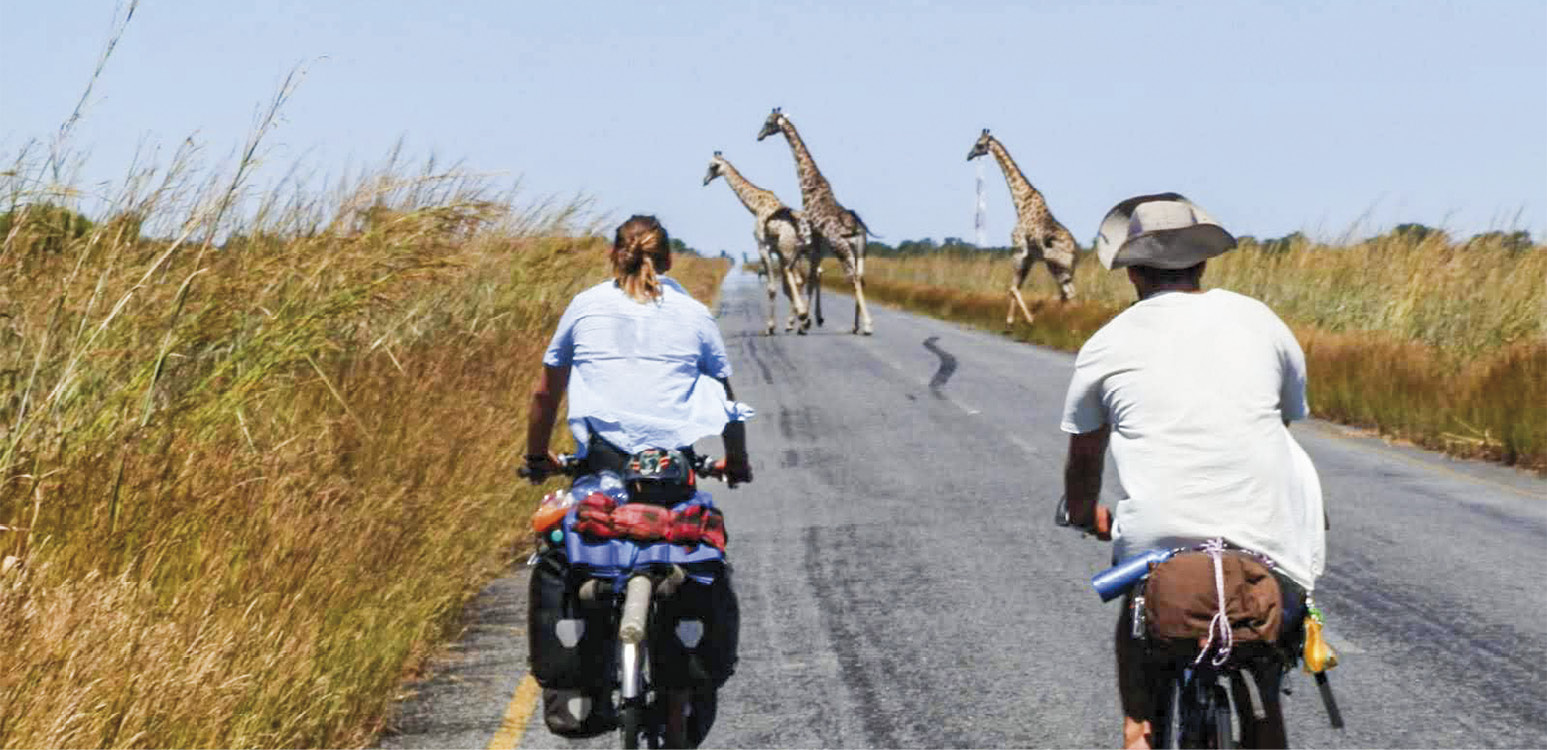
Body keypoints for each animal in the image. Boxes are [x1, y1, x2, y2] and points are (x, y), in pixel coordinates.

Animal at [705, 152, 816, 334]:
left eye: (712, 166)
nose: (705, 180)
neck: (755, 206)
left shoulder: (763, 246)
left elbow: (772, 288)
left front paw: (770, 327)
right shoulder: (777, 250)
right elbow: (785, 286)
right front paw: (793, 321)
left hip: (790, 250)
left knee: (799, 280)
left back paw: (801, 318)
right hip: (801, 253)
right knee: (804, 279)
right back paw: (802, 321)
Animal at [758, 106, 878, 334]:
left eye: (768, 122)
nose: (759, 136)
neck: (810, 185)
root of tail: (857, 228)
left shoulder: (808, 238)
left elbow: (800, 274)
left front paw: (804, 319)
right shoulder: (815, 245)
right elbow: (812, 278)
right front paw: (806, 320)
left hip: (842, 250)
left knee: (853, 279)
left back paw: (867, 325)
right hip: (861, 251)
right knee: (860, 278)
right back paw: (856, 325)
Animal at [965, 127, 1076, 324]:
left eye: (979, 144)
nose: (968, 156)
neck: (1020, 203)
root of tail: (1076, 252)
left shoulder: (1019, 250)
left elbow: (1013, 288)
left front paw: (1023, 320)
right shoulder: (1029, 257)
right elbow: (1015, 287)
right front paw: (1012, 319)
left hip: (1056, 265)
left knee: (1068, 293)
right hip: (1062, 269)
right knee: (1067, 294)